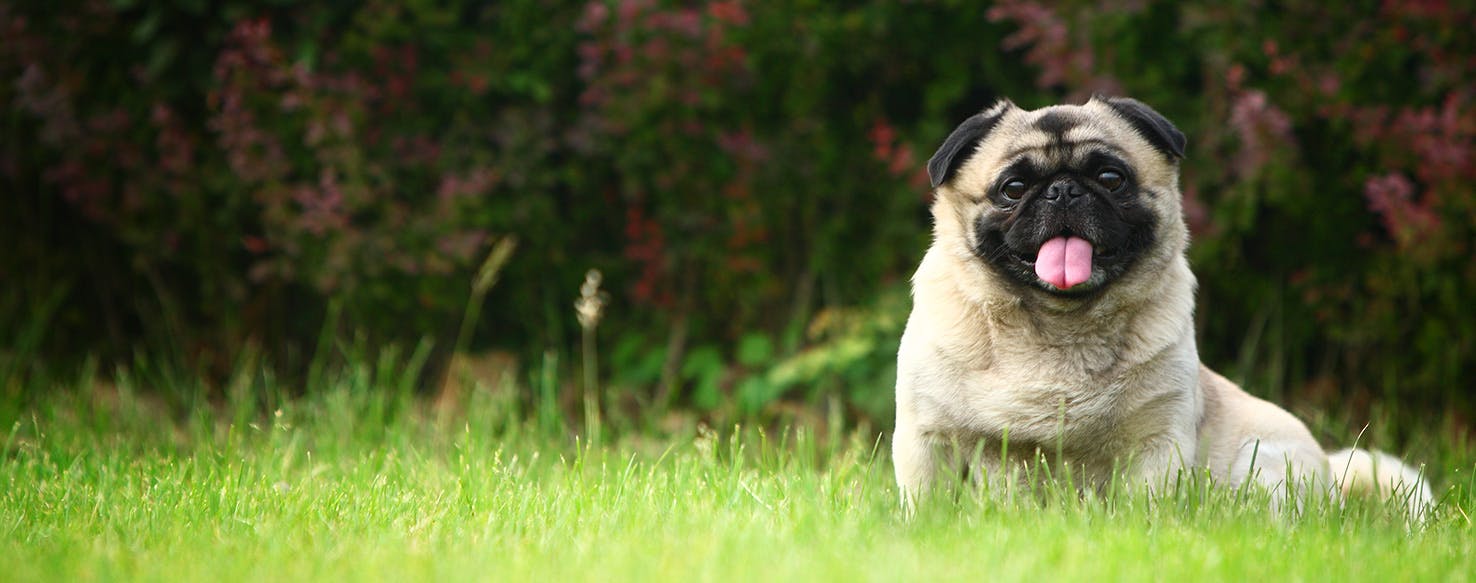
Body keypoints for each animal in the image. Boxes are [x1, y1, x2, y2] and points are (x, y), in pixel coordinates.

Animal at [885, 95, 1428, 519]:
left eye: (1111, 178)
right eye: (1013, 189)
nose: (1063, 190)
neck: (1058, 327)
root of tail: (1333, 480)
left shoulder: (1156, 442)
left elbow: (1145, 504)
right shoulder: (928, 438)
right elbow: (929, 504)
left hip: (1266, 462)